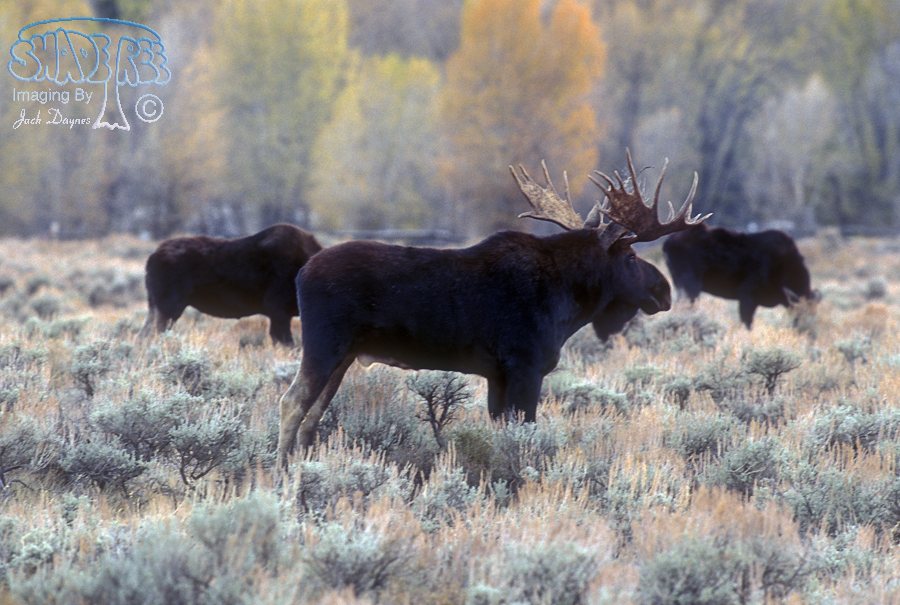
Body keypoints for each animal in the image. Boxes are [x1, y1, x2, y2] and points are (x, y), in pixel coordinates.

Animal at [277, 152, 709, 466]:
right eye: (632, 256)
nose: (663, 291)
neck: (568, 305)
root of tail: (300, 273)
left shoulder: (497, 375)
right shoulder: (525, 367)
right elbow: (524, 432)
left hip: (344, 355)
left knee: (312, 415)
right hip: (324, 344)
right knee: (291, 403)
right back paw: (282, 472)